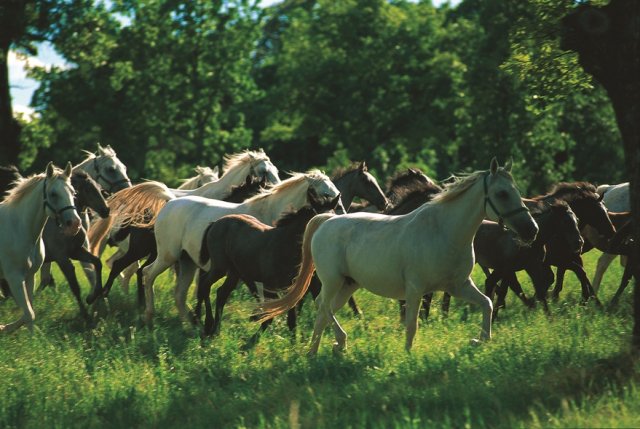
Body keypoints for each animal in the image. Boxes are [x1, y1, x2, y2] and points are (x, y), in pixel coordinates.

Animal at [0, 162, 81, 333]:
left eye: (73, 192)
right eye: (53, 194)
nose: (74, 224)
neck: (19, 228)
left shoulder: (30, 276)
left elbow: (28, 313)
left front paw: (7, 328)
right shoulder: (14, 278)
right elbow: (29, 314)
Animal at [140, 170, 345, 325]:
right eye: (325, 192)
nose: (341, 214)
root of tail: (170, 202)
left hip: (187, 261)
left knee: (180, 294)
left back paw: (192, 324)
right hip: (168, 255)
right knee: (148, 274)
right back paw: (150, 316)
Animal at [195, 190, 341, 345]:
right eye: (321, 218)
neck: (285, 245)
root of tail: (215, 223)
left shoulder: (291, 289)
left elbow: (291, 318)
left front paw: (294, 343)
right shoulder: (269, 286)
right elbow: (270, 315)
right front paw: (250, 342)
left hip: (235, 272)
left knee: (221, 293)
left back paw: (215, 330)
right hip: (220, 267)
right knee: (205, 284)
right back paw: (207, 325)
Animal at [256, 159, 538, 354]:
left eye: (516, 190)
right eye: (502, 193)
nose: (532, 230)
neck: (443, 231)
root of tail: (326, 220)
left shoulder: (458, 286)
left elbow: (487, 304)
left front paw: (480, 340)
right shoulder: (416, 289)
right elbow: (412, 324)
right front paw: (408, 355)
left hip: (348, 284)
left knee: (322, 310)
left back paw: (317, 351)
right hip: (333, 281)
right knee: (324, 306)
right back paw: (338, 344)